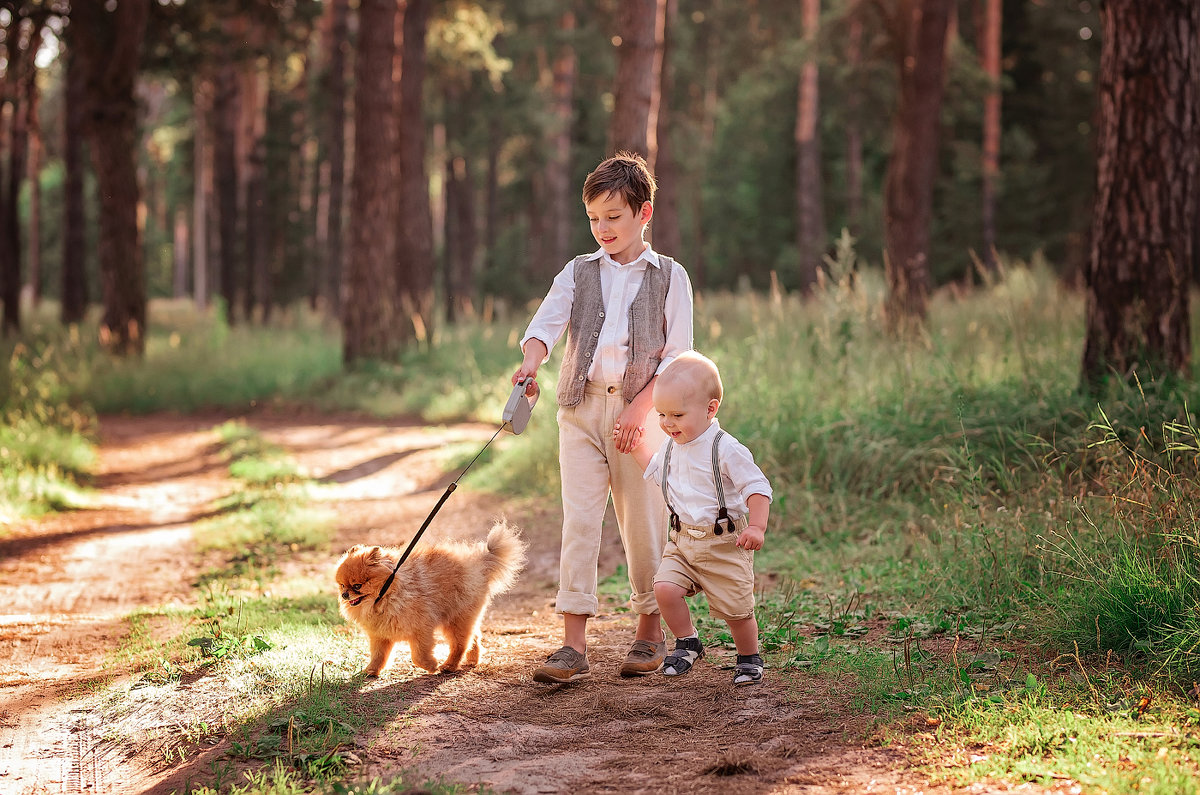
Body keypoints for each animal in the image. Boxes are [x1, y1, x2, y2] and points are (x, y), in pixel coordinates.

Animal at [336, 523, 528, 677]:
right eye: (342, 585)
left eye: (357, 586)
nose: (345, 594)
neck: (386, 597)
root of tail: (479, 563)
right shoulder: (380, 635)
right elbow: (379, 656)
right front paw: (371, 670)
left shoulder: (421, 629)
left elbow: (418, 656)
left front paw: (431, 666)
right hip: (464, 616)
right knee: (473, 637)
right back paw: (472, 659)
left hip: (455, 619)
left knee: (460, 644)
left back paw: (449, 666)